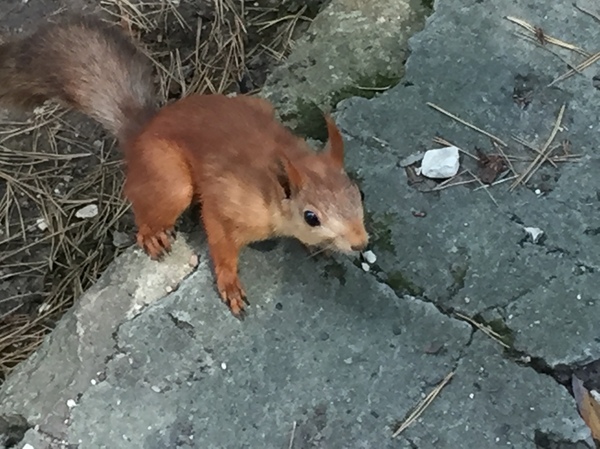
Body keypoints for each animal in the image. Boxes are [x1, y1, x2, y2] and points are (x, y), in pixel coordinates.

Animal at [0, 14, 368, 316]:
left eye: (358, 194)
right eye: (311, 217)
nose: (361, 243)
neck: (272, 187)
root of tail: (142, 132)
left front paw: (322, 248)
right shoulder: (228, 202)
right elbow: (220, 240)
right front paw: (230, 284)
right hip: (169, 179)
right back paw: (152, 235)